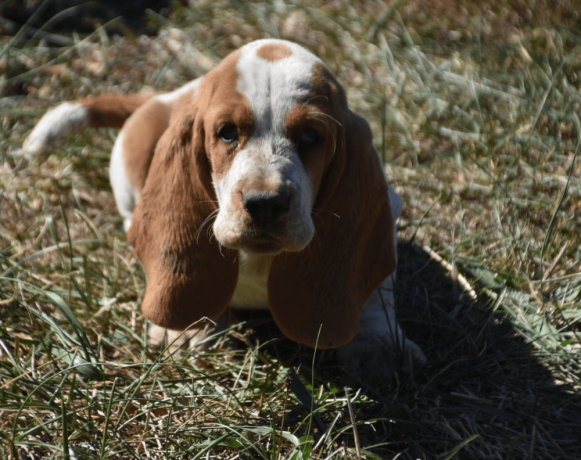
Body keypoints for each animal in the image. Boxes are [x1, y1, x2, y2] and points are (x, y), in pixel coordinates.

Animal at [20, 38, 424, 380]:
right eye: (227, 132)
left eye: (311, 136)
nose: (265, 204)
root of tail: (162, 97)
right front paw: (187, 330)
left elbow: (375, 297)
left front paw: (377, 346)